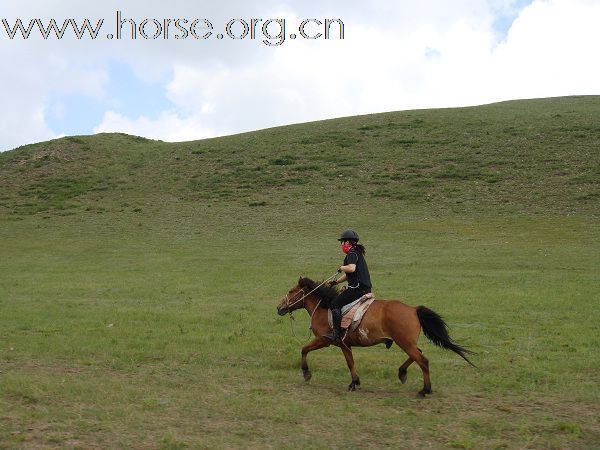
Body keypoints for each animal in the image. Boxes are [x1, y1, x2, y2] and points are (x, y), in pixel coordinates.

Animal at [276, 276, 474, 396]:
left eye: (292, 291)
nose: (279, 308)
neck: (324, 307)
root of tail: (413, 309)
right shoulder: (344, 344)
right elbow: (350, 362)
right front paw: (354, 382)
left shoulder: (325, 340)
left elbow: (304, 349)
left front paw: (306, 373)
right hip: (406, 342)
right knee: (418, 354)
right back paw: (402, 373)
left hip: (404, 342)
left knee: (423, 360)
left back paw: (425, 390)